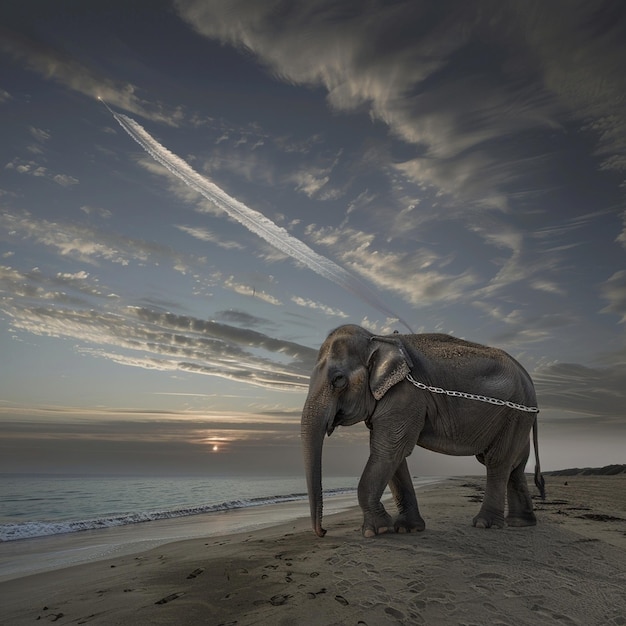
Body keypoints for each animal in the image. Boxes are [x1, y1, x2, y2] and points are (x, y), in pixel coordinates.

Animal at [300, 322, 544, 536]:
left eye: (338, 380)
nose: (323, 532)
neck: (377, 338)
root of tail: (529, 379)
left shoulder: (405, 394)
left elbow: (388, 451)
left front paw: (376, 531)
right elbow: (394, 456)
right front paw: (408, 529)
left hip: (515, 412)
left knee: (497, 461)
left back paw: (486, 524)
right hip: (519, 417)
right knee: (515, 465)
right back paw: (521, 523)